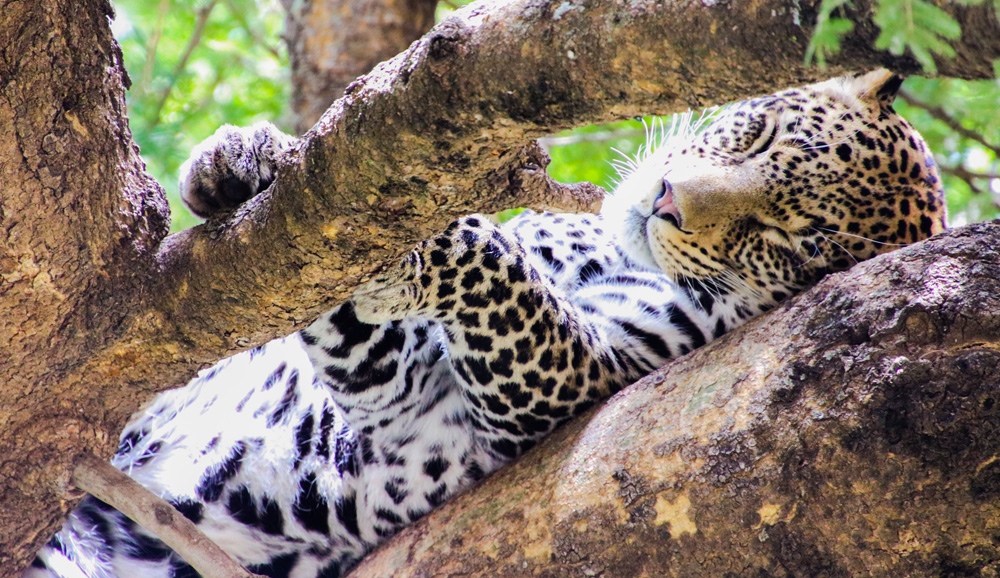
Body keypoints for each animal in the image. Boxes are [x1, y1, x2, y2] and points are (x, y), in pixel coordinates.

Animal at [26, 70, 946, 578]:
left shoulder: (505, 396)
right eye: (755, 135)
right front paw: (243, 156)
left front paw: (417, 242)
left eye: (783, 242)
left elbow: (488, 264)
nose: (667, 203)